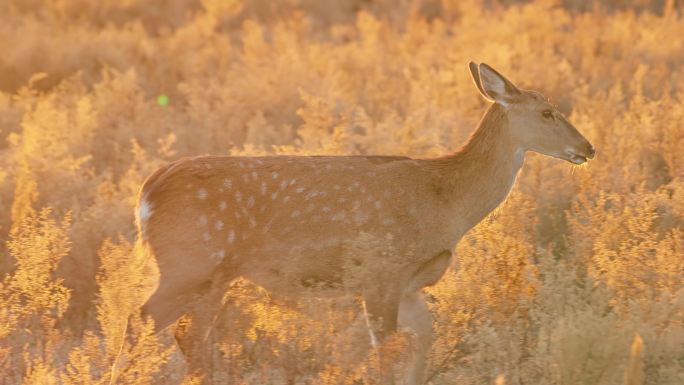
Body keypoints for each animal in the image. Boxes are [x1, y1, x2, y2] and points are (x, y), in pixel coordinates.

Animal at [132, 61, 592, 382]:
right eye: (547, 112)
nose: (588, 147)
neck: (445, 202)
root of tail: (147, 194)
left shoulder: (409, 283)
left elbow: (424, 337)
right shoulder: (380, 272)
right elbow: (385, 351)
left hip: (214, 277)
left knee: (188, 336)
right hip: (188, 264)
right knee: (141, 319)